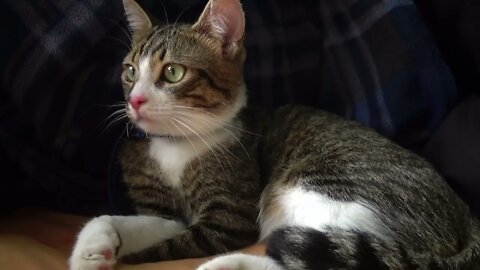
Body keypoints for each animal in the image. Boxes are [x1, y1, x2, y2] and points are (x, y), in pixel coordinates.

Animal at [68, 0, 480, 270]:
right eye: (130, 72)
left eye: (172, 72)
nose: (135, 100)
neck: (176, 146)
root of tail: (466, 216)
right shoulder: (165, 213)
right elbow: (128, 221)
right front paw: (93, 248)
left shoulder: (228, 219)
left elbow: (171, 244)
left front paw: (126, 255)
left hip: (323, 188)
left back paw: (222, 265)